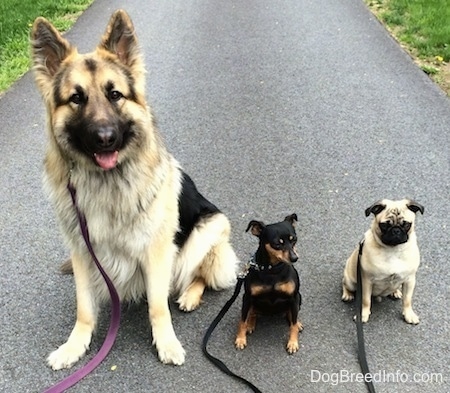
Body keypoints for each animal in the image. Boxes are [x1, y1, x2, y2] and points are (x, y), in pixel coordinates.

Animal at [30, 9, 239, 370]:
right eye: (76, 98)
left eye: (115, 94)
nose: (105, 139)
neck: (106, 182)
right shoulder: (82, 251)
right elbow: (84, 309)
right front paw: (74, 346)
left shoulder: (156, 251)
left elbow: (157, 306)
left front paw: (166, 343)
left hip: (208, 229)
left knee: (199, 273)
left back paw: (189, 295)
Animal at [234, 213, 304, 354]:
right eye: (277, 244)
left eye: (294, 239)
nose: (295, 258)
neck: (272, 270)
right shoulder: (247, 297)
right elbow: (242, 321)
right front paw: (240, 339)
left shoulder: (293, 297)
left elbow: (293, 325)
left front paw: (293, 342)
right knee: (252, 312)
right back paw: (250, 323)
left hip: (299, 298)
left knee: (292, 315)